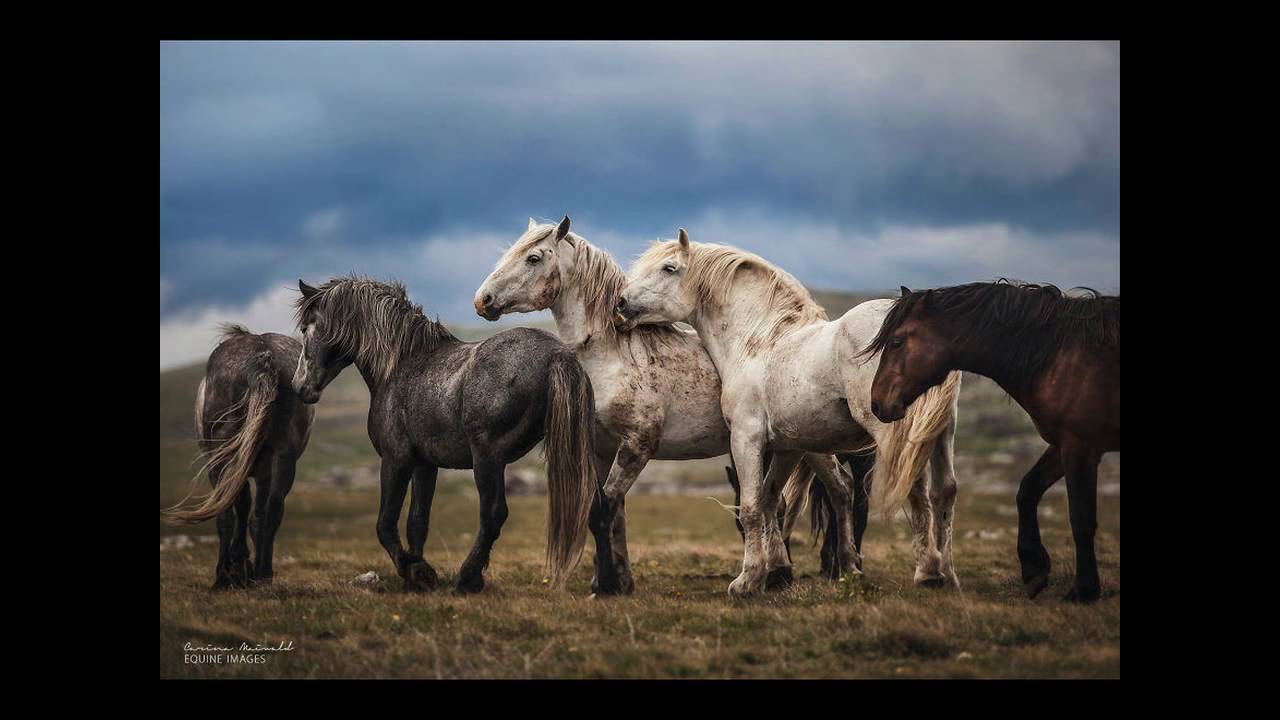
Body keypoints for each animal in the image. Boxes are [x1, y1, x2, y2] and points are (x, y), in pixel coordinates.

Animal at [161, 324, 315, 590]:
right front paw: (249, 570)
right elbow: (258, 516)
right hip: (283, 458)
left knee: (232, 510)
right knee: (273, 510)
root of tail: (261, 357)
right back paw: (263, 573)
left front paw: (232, 569)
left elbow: (231, 514)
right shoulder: (264, 473)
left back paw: (227, 573)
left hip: (223, 459)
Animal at [292, 275, 605, 593]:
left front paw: (415, 570)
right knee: (597, 509)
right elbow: (417, 522)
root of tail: (558, 355)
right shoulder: (425, 465)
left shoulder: (396, 460)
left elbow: (385, 524)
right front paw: (418, 576)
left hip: (487, 459)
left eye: (306, 328)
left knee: (493, 514)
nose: (300, 387)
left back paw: (468, 578)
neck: (399, 365)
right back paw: (608, 583)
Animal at [473, 217, 861, 593]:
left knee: (841, 489)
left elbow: (606, 507)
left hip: (811, 444)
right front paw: (618, 579)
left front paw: (608, 583)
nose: (482, 300)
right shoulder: (601, 449)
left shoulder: (637, 445)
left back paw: (845, 568)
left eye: (533, 257)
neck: (613, 354)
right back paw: (783, 573)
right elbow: (614, 513)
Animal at [616, 230, 963, 597]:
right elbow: (772, 500)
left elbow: (752, 507)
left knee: (916, 490)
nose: (621, 303)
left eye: (668, 268)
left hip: (891, 432)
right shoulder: (788, 447)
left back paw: (928, 573)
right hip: (941, 431)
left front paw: (747, 581)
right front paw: (776, 571)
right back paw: (943, 573)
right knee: (943, 492)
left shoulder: (746, 438)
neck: (759, 343)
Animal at [865, 281, 1119, 602]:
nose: (876, 403)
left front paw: (1083, 589)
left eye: (896, 341)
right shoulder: (1064, 443)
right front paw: (1034, 569)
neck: (1059, 356)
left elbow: (1081, 517)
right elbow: (1027, 491)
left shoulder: (1080, 445)